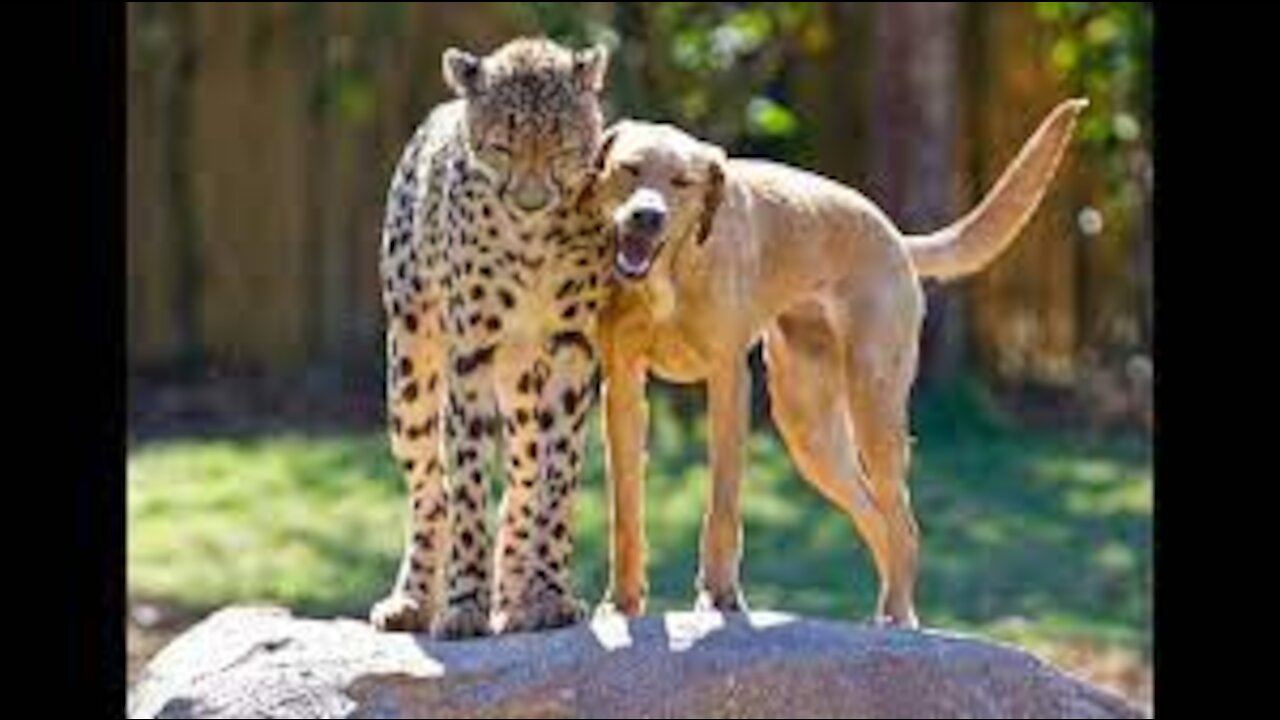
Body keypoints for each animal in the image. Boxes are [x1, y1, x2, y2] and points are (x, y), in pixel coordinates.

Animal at [368, 36, 611, 635]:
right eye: (502, 144)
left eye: (563, 145)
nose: (531, 199)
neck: (531, 239)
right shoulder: (470, 355)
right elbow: (469, 487)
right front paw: (462, 605)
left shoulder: (573, 351)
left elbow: (556, 480)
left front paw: (548, 595)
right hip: (410, 369)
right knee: (431, 488)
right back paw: (414, 600)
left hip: (524, 385)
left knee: (521, 480)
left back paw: (514, 600)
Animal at [586, 98, 1085, 625]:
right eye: (630, 169)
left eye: (681, 182)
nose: (646, 217)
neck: (669, 274)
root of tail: (893, 235)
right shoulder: (623, 389)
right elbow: (626, 513)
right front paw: (621, 603)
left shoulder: (727, 382)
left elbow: (722, 506)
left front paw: (720, 596)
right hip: (814, 435)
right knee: (877, 518)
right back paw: (889, 612)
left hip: (873, 409)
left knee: (903, 524)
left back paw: (897, 616)